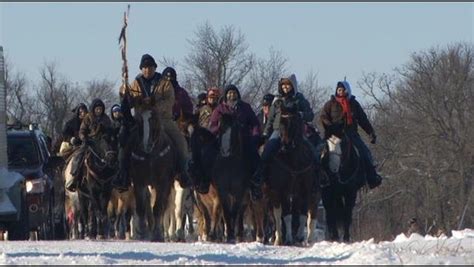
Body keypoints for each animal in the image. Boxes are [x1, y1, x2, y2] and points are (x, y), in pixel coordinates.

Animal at [127, 109, 179, 243]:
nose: (146, 145)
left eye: (154, 120)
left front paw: (157, 235)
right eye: (139, 122)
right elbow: (141, 207)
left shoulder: (163, 183)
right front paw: (142, 232)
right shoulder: (139, 181)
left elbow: (158, 208)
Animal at [264, 107, 320, 247]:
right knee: (276, 215)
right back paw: (277, 238)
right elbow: (286, 215)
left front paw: (300, 237)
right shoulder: (282, 191)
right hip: (272, 194)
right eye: (280, 122)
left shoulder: (305, 191)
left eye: (293, 123)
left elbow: (303, 214)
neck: (293, 160)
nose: (285, 145)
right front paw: (288, 239)